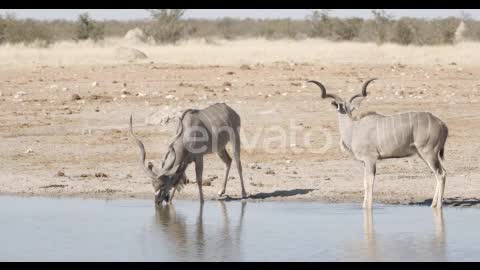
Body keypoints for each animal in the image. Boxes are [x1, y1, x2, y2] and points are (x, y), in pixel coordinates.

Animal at [310, 78, 448, 209]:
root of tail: (442, 124)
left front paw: (368, 206)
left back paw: (438, 206)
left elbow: (370, 182)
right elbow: (365, 181)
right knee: (442, 172)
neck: (354, 128)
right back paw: (433, 204)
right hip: (424, 155)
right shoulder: (365, 162)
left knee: (440, 174)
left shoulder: (371, 159)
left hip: (428, 153)